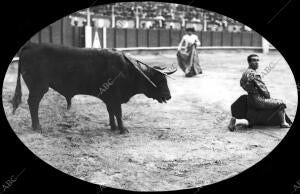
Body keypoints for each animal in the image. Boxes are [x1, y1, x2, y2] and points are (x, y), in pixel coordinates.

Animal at [10, 42, 177, 133]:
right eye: (160, 80)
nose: (169, 96)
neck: (127, 70)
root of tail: (31, 45)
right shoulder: (115, 97)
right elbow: (119, 113)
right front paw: (123, 129)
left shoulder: (109, 98)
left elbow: (111, 112)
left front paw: (113, 127)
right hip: (38, 87)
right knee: (33, 103)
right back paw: (37, 127)